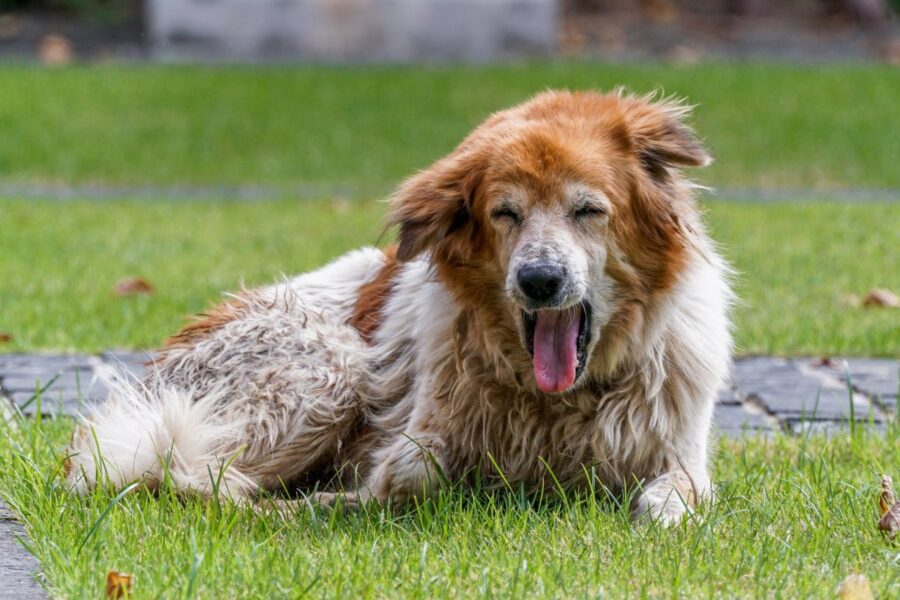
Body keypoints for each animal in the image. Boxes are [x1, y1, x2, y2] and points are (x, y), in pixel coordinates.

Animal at [67, 90, 736, 524]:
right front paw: (348, 499)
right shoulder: (417, 436)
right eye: (505, 213)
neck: (558, 407)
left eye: (588, 210)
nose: (540, 281)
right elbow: (415, 473)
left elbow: (675, 499)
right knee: (185, 475)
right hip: (330, 363)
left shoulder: (682, 454)